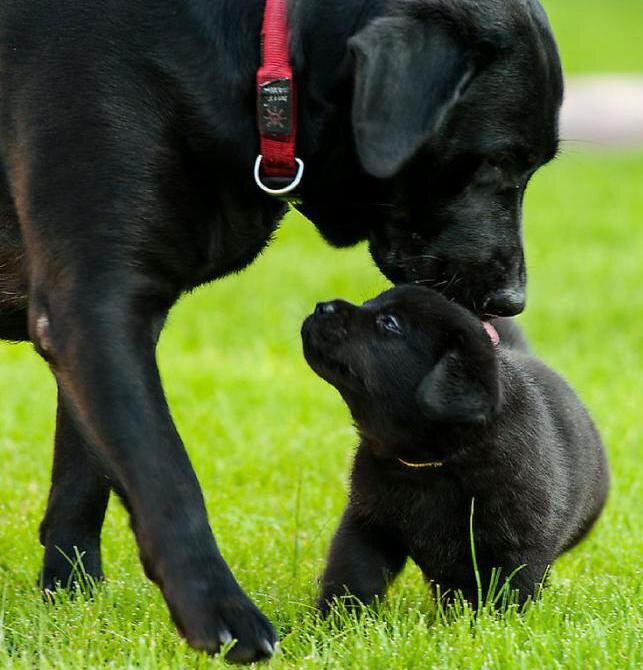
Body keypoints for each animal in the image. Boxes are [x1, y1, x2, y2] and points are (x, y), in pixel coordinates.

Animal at [0, 0, 564, 664]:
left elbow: (82, 478)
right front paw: (222, 616)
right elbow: (165, 476)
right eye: (498, 160)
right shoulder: (93, 302)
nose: (512, 301)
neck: (264, 64)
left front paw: (71, 601)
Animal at [302, 286, 608, 612]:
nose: (322, 307)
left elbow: (508, 593)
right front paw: (336, 617)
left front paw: (489, 623)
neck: (430, 462)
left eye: (390, 322)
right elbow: (354, 574)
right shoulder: (369, 522)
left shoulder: (519, 545)